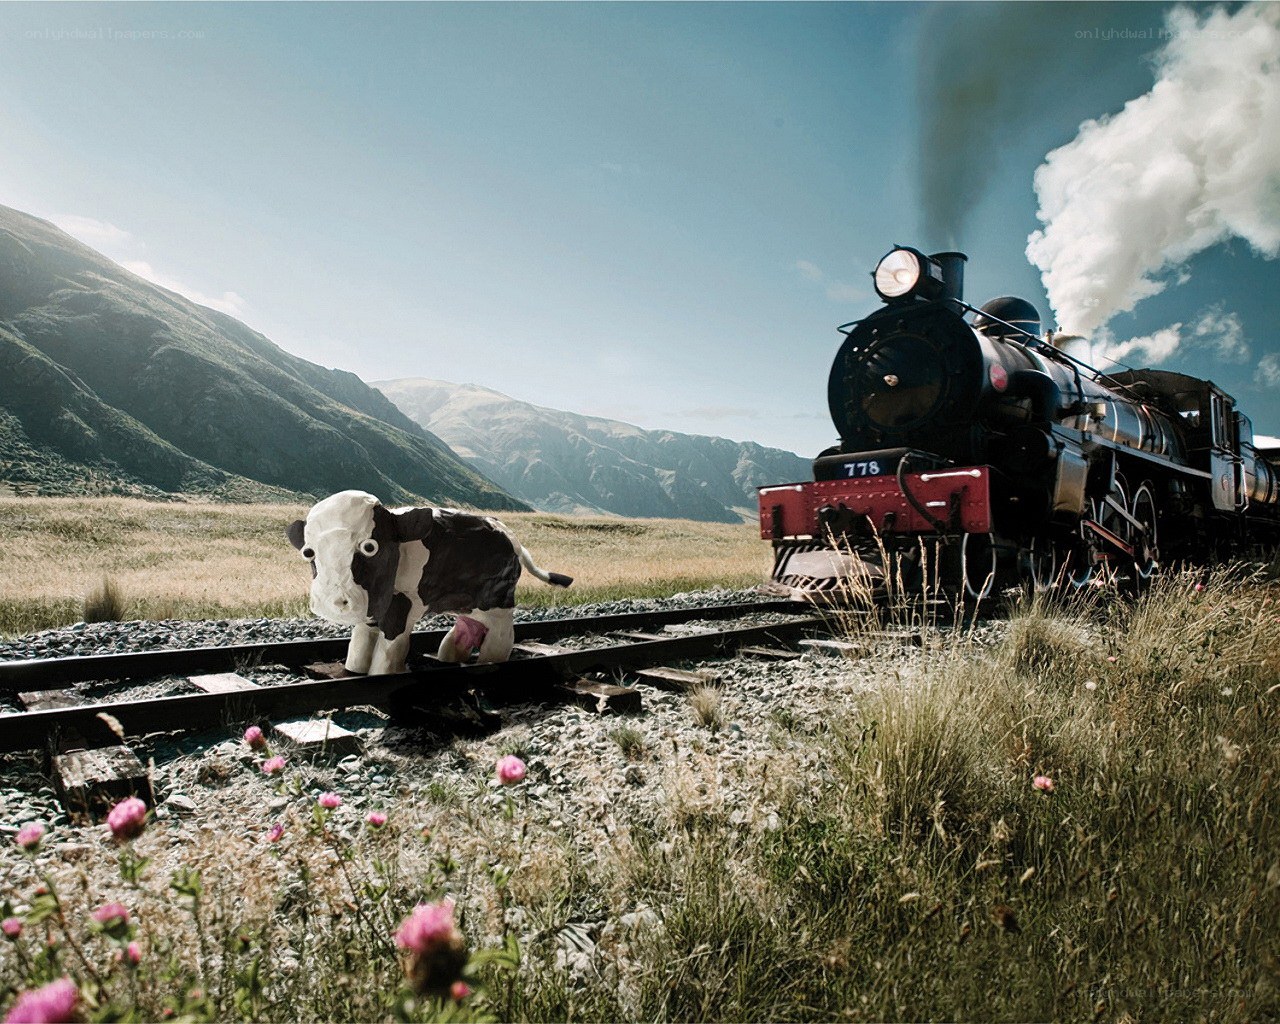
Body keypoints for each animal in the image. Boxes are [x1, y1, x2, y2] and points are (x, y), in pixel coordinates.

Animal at [286, 490, 572, 675]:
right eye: (308, 552)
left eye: (370, 547)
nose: (333, 601)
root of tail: (512, 537)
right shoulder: (375, 604)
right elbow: (361, 638)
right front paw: (354, 669)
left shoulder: (403, 602)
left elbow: (390, 645)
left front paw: (380, 673)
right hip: (467, 602)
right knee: (469, 625)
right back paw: (449, 656)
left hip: (498, 601)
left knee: (502, 634)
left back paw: (489, 660)